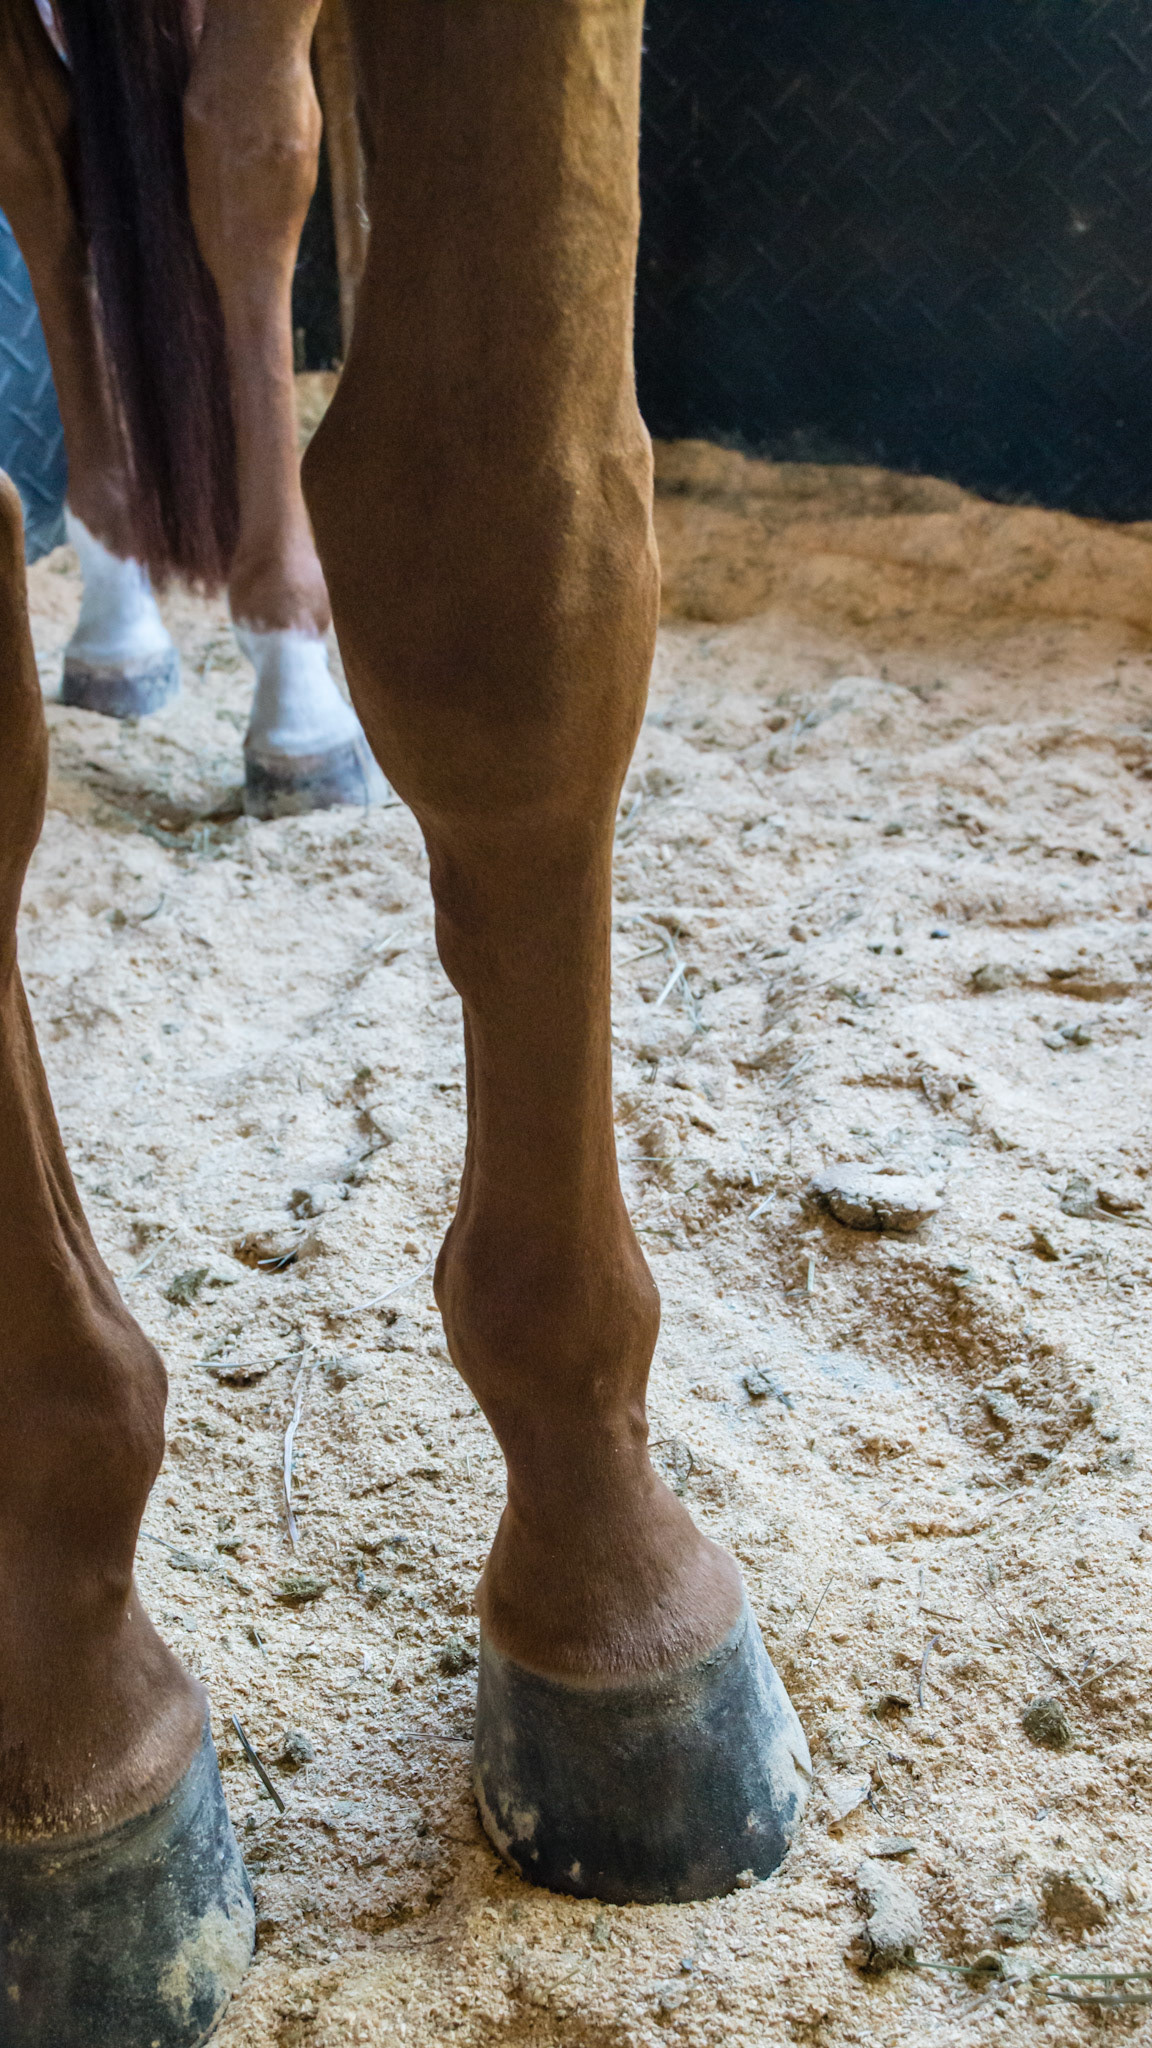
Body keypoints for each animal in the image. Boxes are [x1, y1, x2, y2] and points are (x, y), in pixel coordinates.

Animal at [0, 3, 811, 2040]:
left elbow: (508, 550)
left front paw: (618, 1612)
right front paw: (75, 1734)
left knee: (243, 153)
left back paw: (279, 687)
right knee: (61, 181)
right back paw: (121, 615)